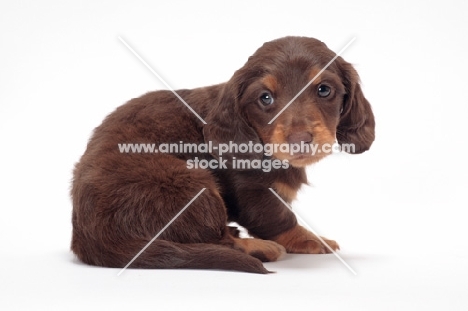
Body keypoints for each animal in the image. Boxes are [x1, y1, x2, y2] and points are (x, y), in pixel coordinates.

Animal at [71, 37, 374, 276]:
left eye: (324, 89)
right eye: (265, 98)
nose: (300, 141)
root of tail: (90, 239)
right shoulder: (252, 191)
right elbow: (278, 218)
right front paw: (311, 239)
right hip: (191, 181)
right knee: (217, 240)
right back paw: (259, 248)